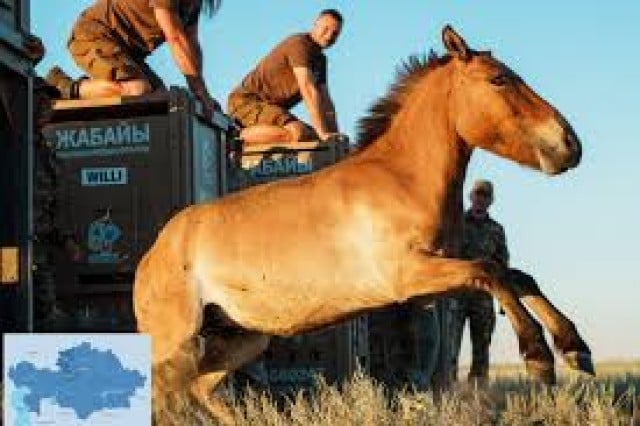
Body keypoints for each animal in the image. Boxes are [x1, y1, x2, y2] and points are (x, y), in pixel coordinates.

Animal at [133, 25, 591, 424]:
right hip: (176, 344)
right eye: (499, 79)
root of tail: (152, 255)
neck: (402, 180)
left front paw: (575, 349)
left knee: (202, 390)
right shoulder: (409, 275)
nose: (570, 144)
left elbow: (516, 275)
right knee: (165, 396)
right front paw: (539, 356)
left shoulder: (438, 276)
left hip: (242, 337)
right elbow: (491, 270)